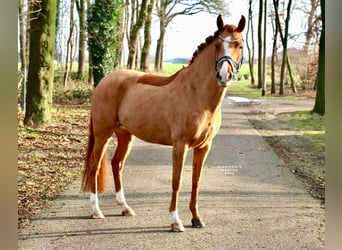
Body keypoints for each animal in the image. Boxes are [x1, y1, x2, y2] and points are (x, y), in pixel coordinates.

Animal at [81, 14, 244, 231]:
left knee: (117, 164)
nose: (225, 75)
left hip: (125, 135)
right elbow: (177, 181)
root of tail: (103, 82)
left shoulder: (204, 147)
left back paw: (125, 207)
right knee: (94, 165)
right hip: (102, 135)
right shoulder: (180, 145)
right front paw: (176, 221)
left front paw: (196, 218)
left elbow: (196, 182)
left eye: (240, 45)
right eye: (218, 45)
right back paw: (95, 211)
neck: (197, 94)